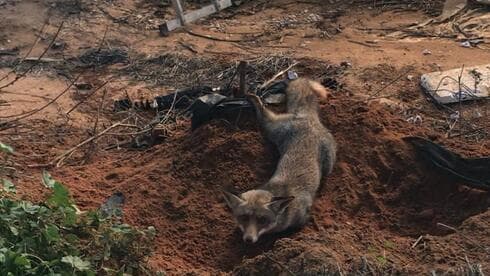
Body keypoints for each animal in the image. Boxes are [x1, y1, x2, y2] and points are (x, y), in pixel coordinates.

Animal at [223, 76, 334, 243]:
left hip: (328, 163)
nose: (248, 239)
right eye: (243, 217)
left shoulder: (303, 217)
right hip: (271, 127)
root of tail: (305, 117)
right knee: (264, 111)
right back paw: (253, 97)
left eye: (263, 220)